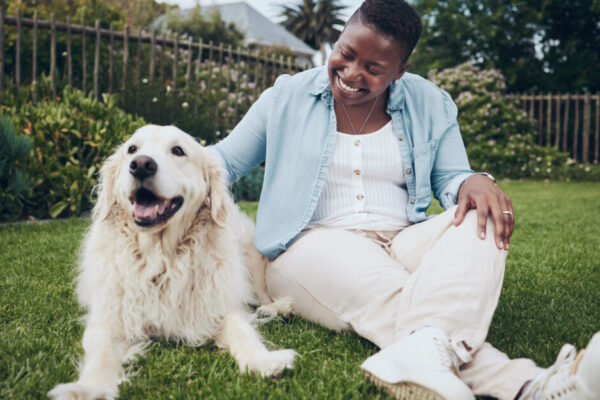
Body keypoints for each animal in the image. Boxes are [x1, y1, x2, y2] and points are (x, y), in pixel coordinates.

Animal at [48, 125, 296, 400]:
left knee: (263, 294)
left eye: (178, 150)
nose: (141, 165)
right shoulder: (110, 317)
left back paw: (277, 308)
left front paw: (263, 360)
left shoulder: (218, 306)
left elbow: (241, 330)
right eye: (132, 149)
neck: (160, 257)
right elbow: (101, 354)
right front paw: (87, 388)